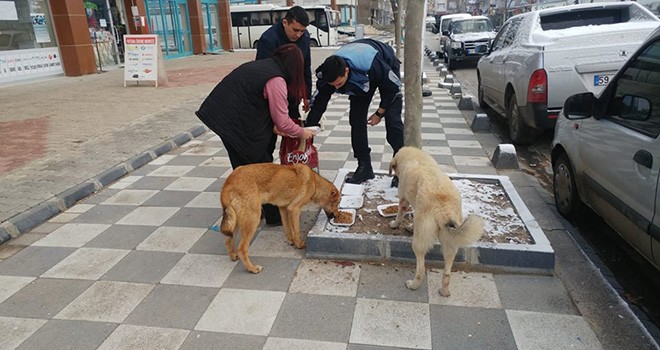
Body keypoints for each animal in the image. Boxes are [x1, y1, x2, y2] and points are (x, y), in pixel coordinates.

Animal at [386, 146, 484, 296]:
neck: (415, 158)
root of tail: (444, 210)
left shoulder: (404, 200)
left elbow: (400, 214)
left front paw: (395, 224)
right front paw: (410, 226)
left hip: (419, 243)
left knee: (421, 269)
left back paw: (413, 285)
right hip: (450, 244)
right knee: (447, 273)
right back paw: (444, 291)